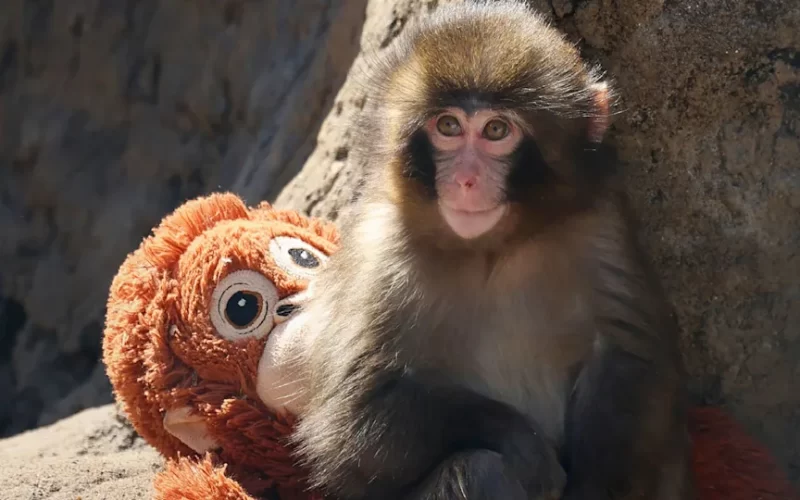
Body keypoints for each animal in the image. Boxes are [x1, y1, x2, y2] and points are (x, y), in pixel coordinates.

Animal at [287, 1, 693, 499]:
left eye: (496, 130)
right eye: (448, 126)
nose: (465, 179)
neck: (492, 250)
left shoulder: (600, 224)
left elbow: (629, 361)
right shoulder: (379, 254)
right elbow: (352, 423)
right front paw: (522, 442)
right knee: (480, 468)